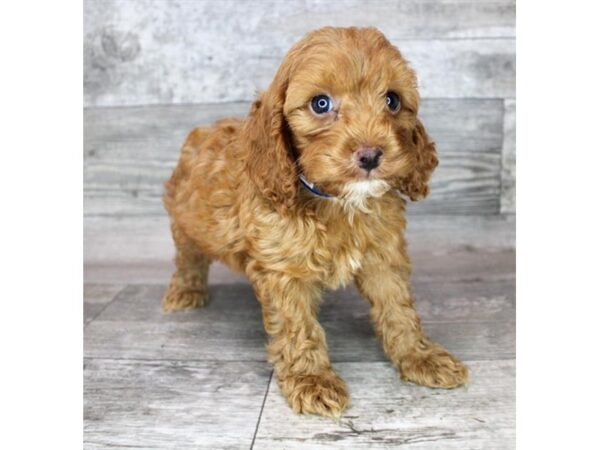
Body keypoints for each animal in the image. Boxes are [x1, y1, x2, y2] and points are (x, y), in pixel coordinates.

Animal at [163, 26, 468, 416]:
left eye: (392, 101)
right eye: (320, 104)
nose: (370, 155)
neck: (338, 202)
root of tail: (204, 129)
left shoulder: (384, 255)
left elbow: (398, 307)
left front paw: (420, 356)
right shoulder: (283, 270)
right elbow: (298, 327)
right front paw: (312, 380)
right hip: (184, 217)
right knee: (188, 255)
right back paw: (186, 290)